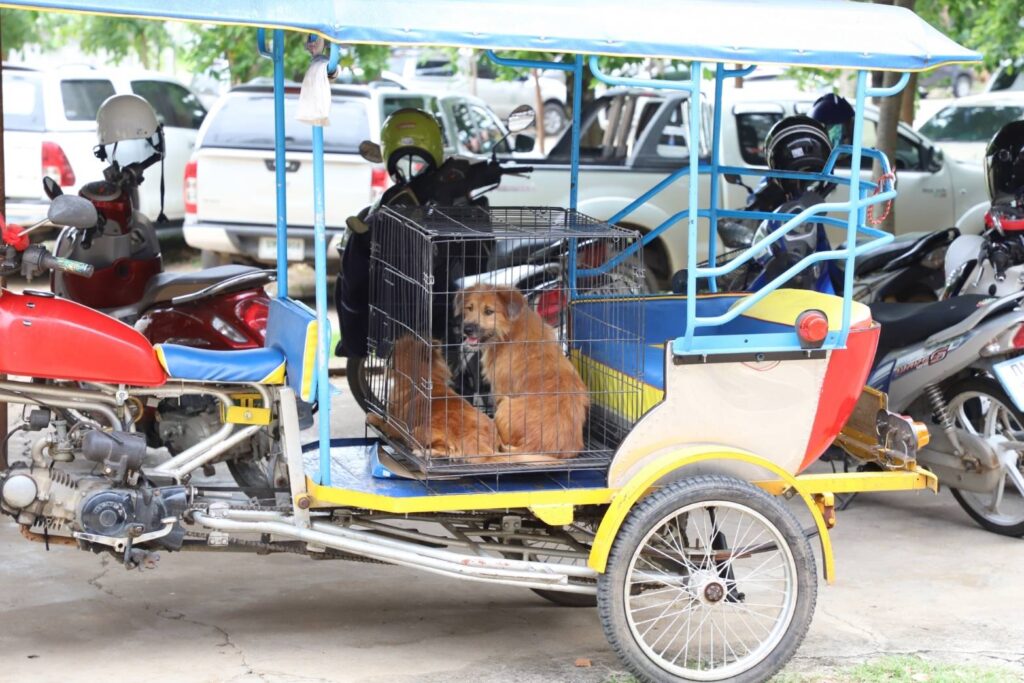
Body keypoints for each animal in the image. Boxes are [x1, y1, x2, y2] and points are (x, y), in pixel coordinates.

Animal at [367, 335, 501, 462]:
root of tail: (476, 439)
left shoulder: (394, 426)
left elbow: (381, 421)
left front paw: (371, 416)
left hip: (418, 431)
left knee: (448, 450)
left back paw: (424, 452)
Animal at [458, 285, 589, 461]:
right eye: (469, 308)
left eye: (489, 311)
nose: (467, 329)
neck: (509, 331)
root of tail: (535, 446)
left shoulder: (501, 390)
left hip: (505, 407)